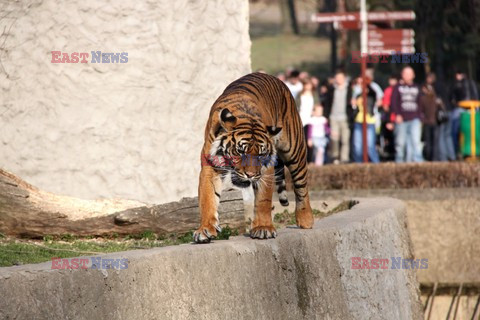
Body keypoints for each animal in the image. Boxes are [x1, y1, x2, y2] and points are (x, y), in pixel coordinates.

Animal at [193, 72, 314, 242]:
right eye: (240, 151)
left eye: (261, 154)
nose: (250, 175)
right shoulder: (210, 165)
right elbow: (207, 198)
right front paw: (205, 229)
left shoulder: (267, 169)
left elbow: (263, 199)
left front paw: (263, 228)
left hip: (295, 149)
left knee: (302, 185)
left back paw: (306, 219)